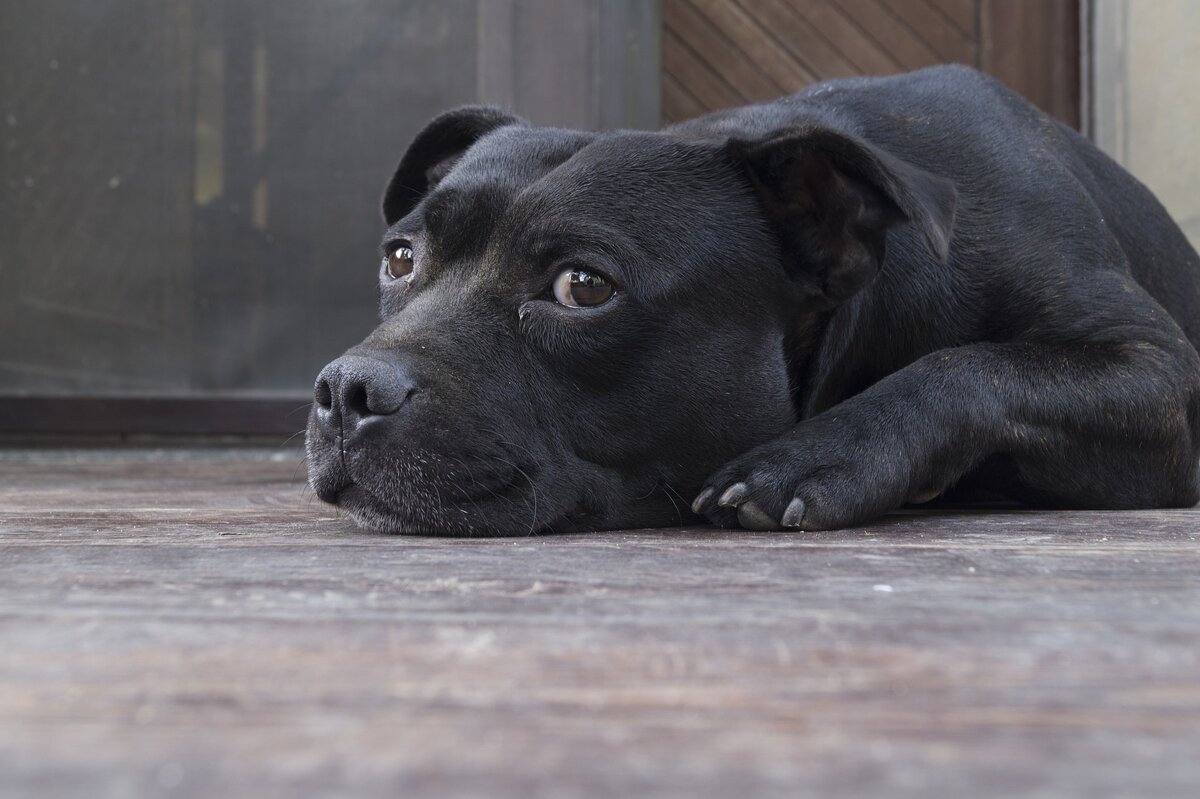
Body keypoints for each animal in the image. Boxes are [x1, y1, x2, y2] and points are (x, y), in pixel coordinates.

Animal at [302, 65, 1200, 532]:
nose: (346, 389)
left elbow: (973, 365)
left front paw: (819, 454)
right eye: (400, 257)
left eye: (584, 287)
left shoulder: (1156, 370)